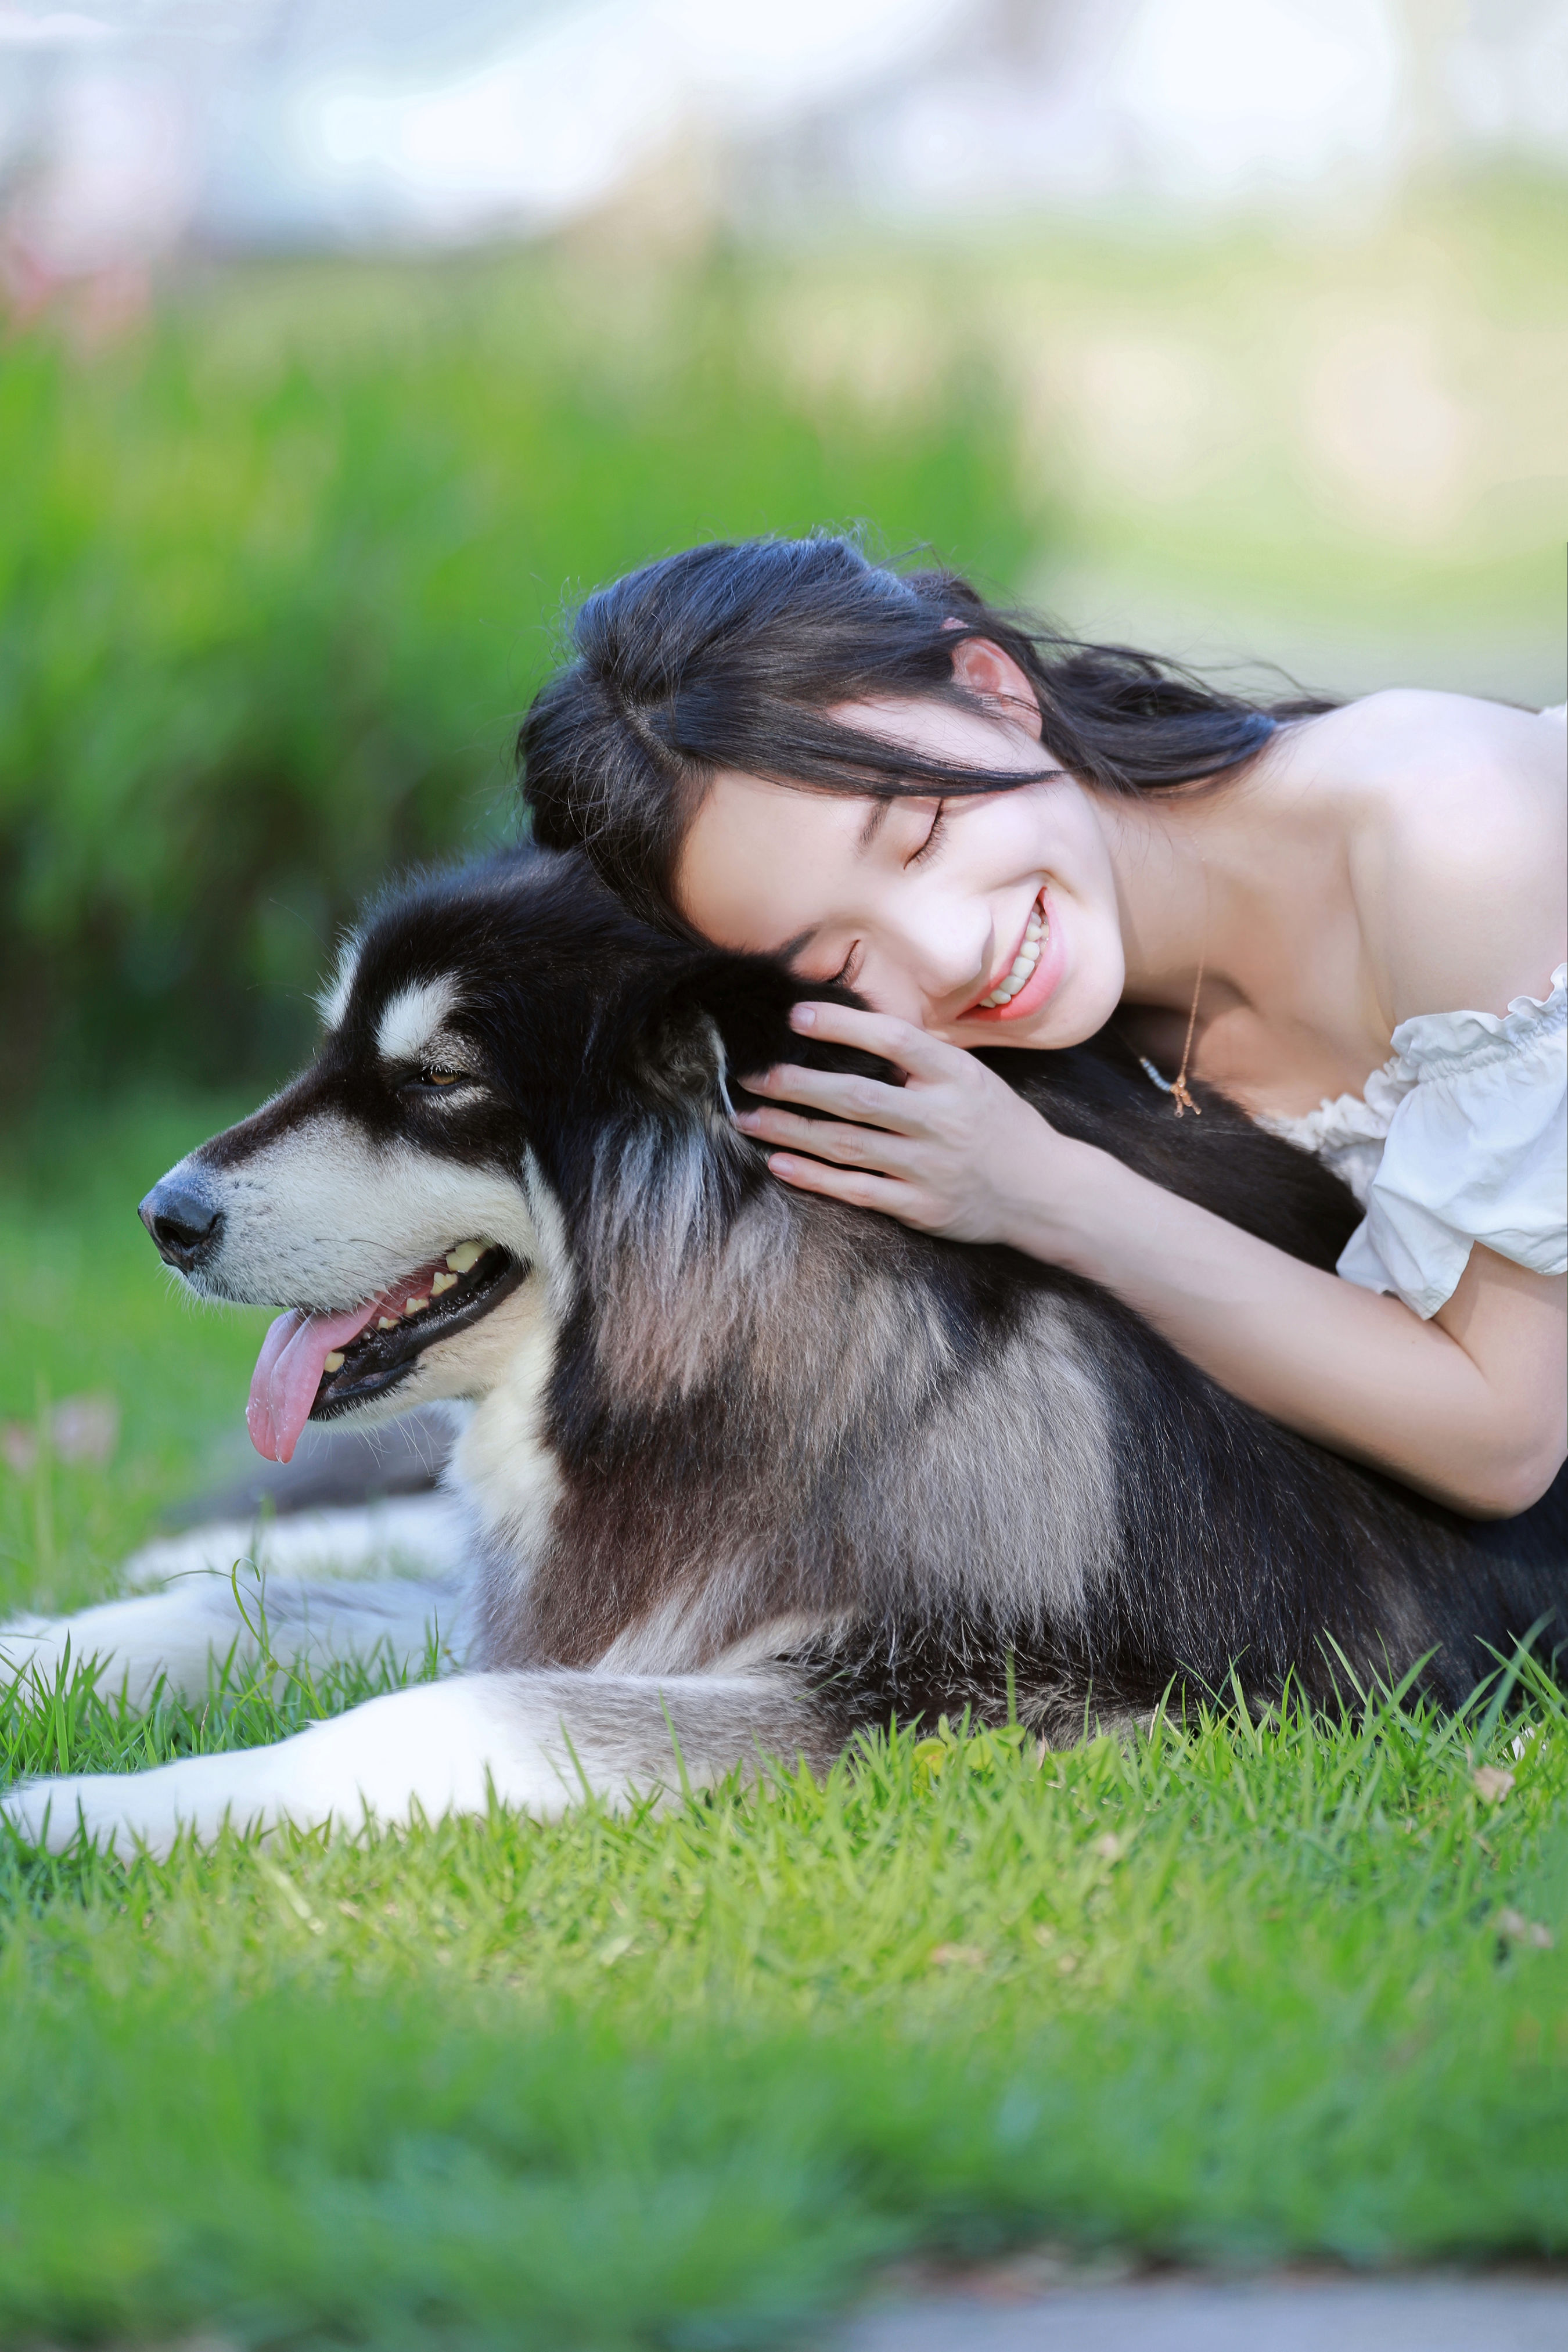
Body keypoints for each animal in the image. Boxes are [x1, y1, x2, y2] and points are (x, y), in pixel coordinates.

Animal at [6, 847, 1560, 1853]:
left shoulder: (988, 1691)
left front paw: (85, 1808)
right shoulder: (657, 1576)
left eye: (435, 1080)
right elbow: (246, 1611)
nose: (164, 1215)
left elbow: (461, 1708)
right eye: (331, 1049)